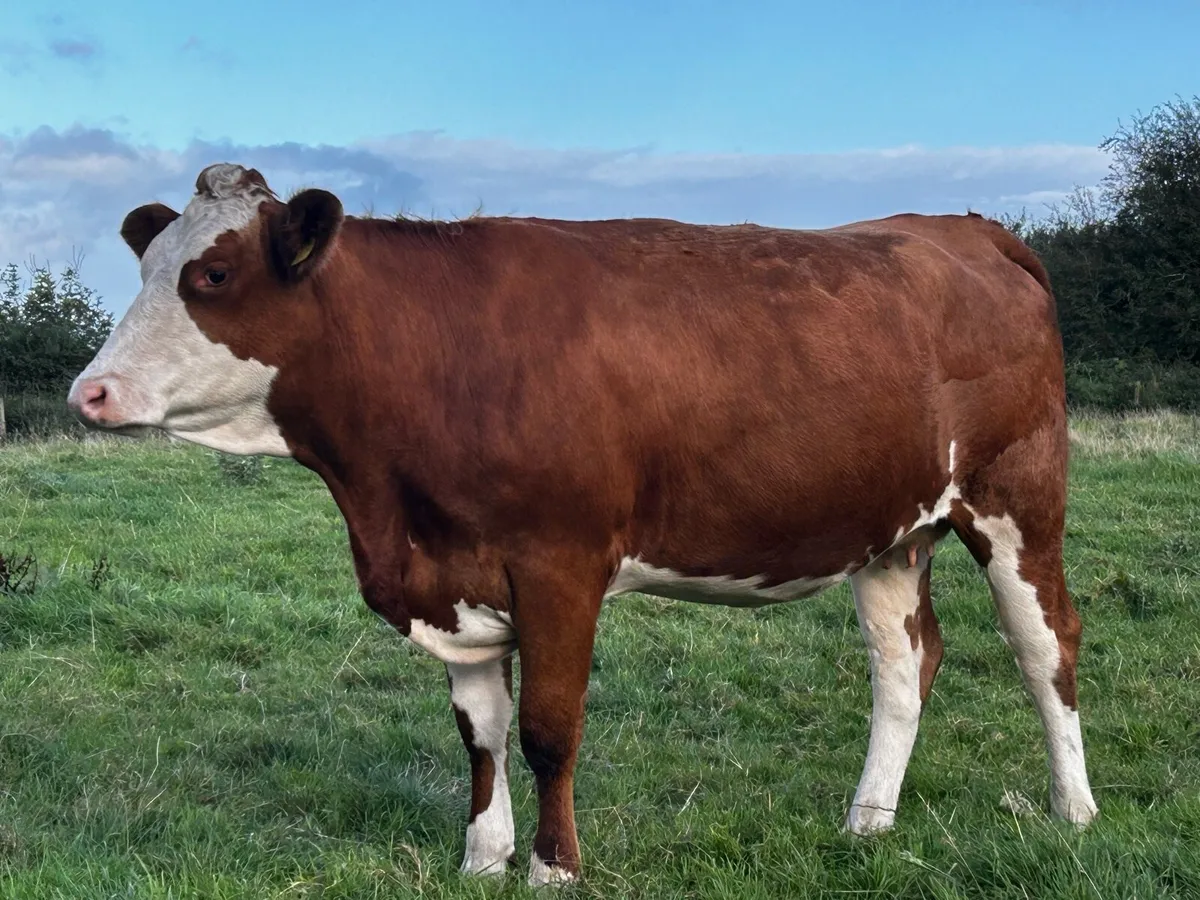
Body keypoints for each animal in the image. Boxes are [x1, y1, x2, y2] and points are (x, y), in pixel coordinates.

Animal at [68, 163, 1099, 886]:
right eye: (147, 268)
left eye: (213, 273)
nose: (91, 391)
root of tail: (961, 226)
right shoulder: (452, 575)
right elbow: (479, 732)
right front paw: (480, 858)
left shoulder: (558, 564)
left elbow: (548, 730)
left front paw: (553, 867)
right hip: (889, 528)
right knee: (905, 661)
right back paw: (867, 822)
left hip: (1017, 497)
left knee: (1047, 644)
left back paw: (1073, 811)